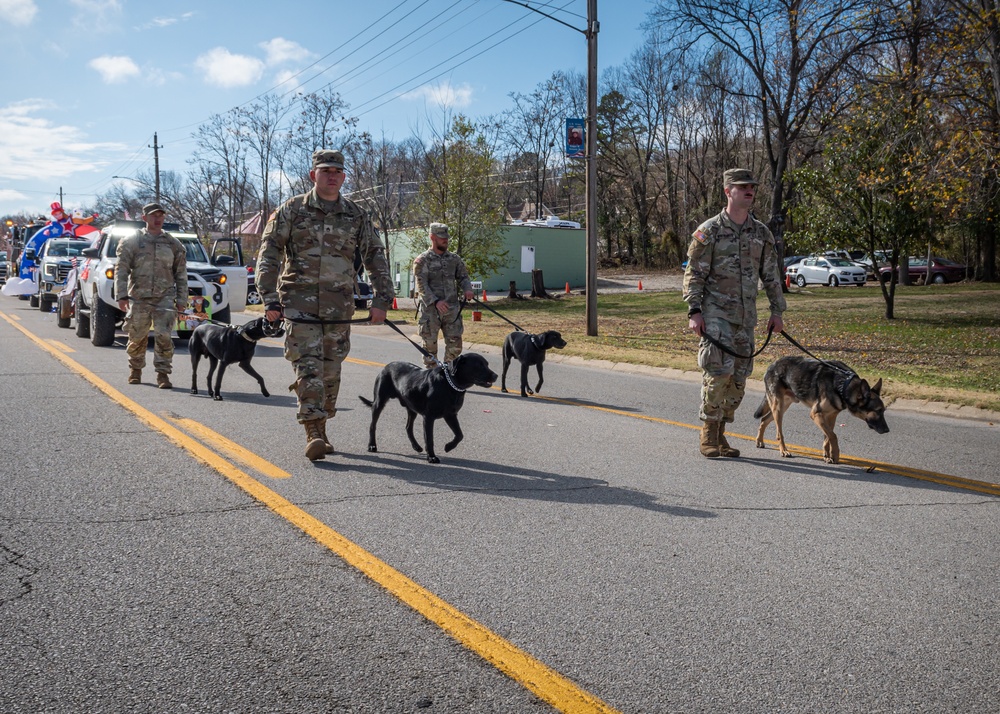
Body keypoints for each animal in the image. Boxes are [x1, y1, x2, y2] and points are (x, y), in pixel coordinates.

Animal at [362, 350, 498, 462]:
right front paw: (432, 457)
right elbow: (429, 438)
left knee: (408, 427)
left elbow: (459, 435)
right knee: (372, 425)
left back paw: (416, 446)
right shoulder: (428, 417)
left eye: (487, 364)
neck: (450, 385)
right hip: (379, 402)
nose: (496, 376)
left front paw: (448, 447)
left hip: (411, 408)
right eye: (478, 365)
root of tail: (387, 366)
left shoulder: (451, 415)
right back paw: (372, 445)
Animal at [752, 354, 888, 462]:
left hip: (783, 406)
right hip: (778, 408)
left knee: (764, 420)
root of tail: (771, 365)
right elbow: (833, 436)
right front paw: (835, 454)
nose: (887, 430)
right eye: (878, 411)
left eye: (884, 411)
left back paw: (759, 441)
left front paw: (827, 455)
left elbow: (828, 436)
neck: (844, 385)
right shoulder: (816, 414)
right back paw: (784, 450)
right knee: (779, 433)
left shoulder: (830, 417)